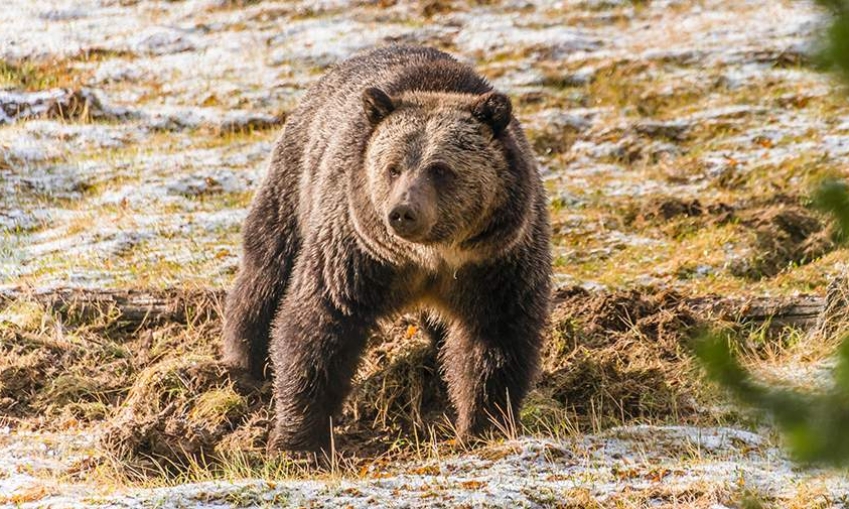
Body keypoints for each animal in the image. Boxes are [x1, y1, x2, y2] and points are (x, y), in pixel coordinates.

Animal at [222, 45, 548, 454]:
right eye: (393, 167)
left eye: (440, 168)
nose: (402, 212)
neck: (429, 257)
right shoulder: (357, 252)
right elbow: (318, 322)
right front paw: (299, 440)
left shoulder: (495, 262)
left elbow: (495, 338)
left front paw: (482, 424)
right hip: (295, 185)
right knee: (268, 270)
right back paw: (245, 364)